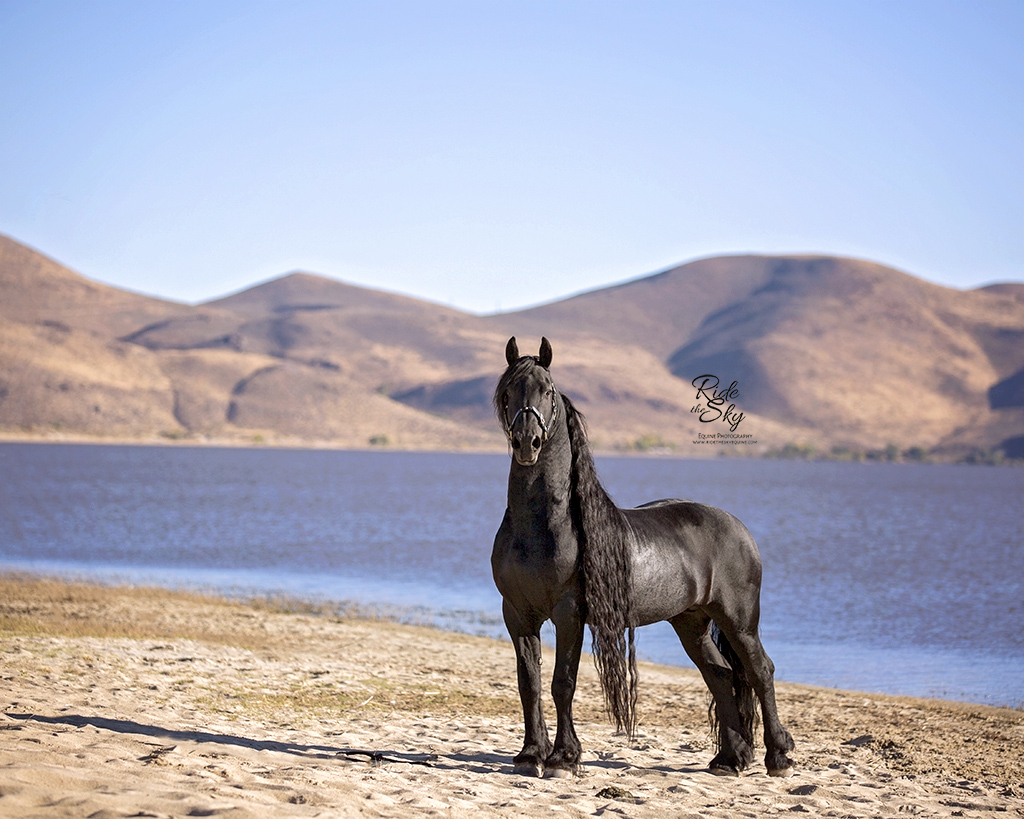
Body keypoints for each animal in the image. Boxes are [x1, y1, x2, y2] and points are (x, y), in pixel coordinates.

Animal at [491, 335, 794, 778]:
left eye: (546, 391)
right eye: (508, 391)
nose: (526, 442)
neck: (541, 527)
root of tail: (738, 528)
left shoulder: (569, 613)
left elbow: (563, 682)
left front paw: (564, 758)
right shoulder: (517, 613)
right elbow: (527, 683)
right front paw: (531, 755)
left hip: (738, 620)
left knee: (759, 671)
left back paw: (779, 757)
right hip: (691, 623)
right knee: (721, 676)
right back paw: (728, 759)